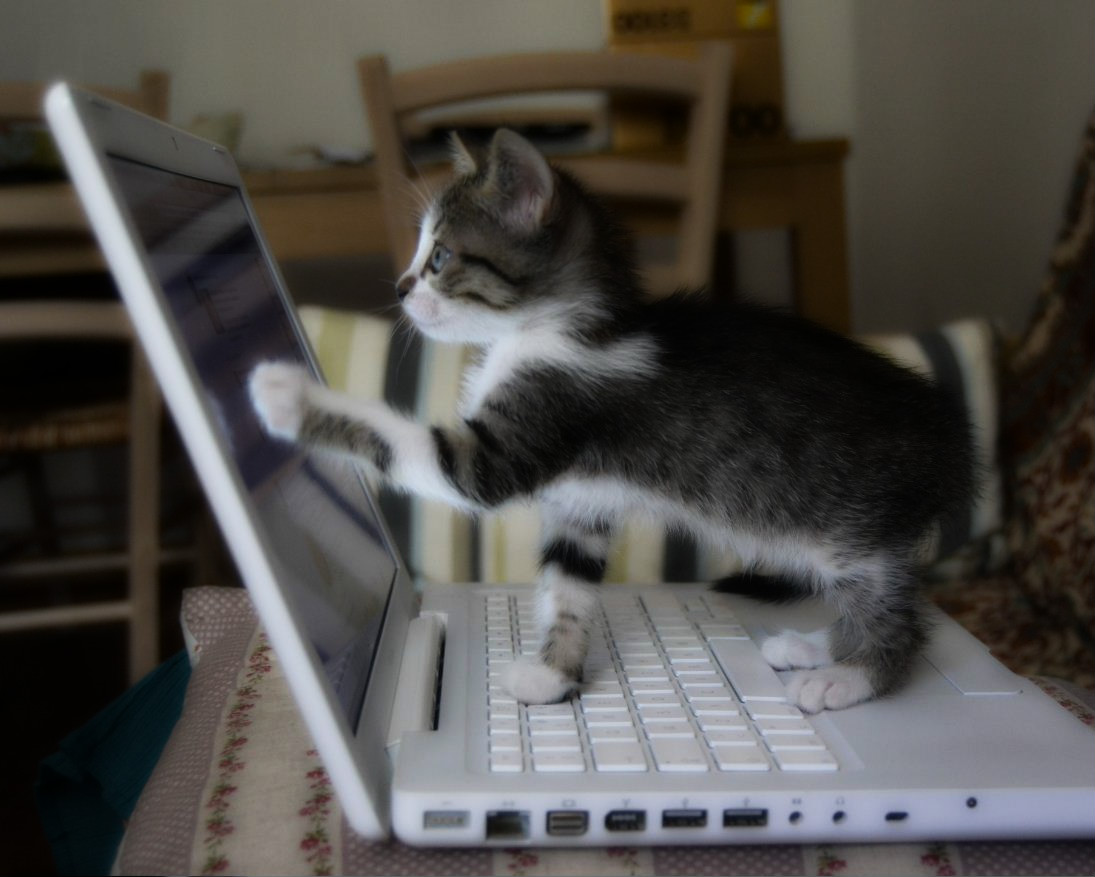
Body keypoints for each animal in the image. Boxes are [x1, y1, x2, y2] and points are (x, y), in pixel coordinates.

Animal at [248, 131, 976, 718]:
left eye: (441, 257)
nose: (401, 287)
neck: (551, 328)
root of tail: (952, 438)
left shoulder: (522, 436)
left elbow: (408, 444)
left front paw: (288, 396)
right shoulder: (582, 501)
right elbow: (566, 584)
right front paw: (554, 674)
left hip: (847, 529)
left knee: (899, 617)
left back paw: (849, 676)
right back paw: (818, 645)